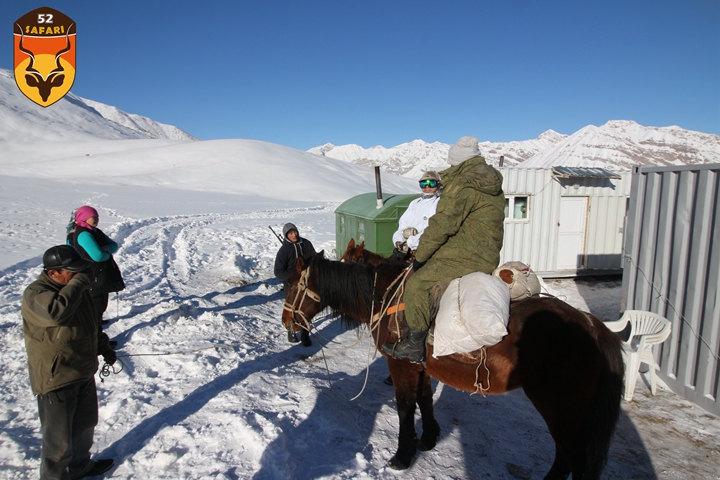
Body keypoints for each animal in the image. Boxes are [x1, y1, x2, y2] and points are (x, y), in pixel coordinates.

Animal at [282, 251, 624, 480]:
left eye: (291, 286)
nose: (287, 321)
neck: (384, 297)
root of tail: (592, 325)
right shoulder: (419, 366)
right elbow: (425, 400)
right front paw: (429, 438)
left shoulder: (400, 365)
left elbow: (405, 407)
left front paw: (402, 456)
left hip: (561, 412)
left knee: (573, 460)